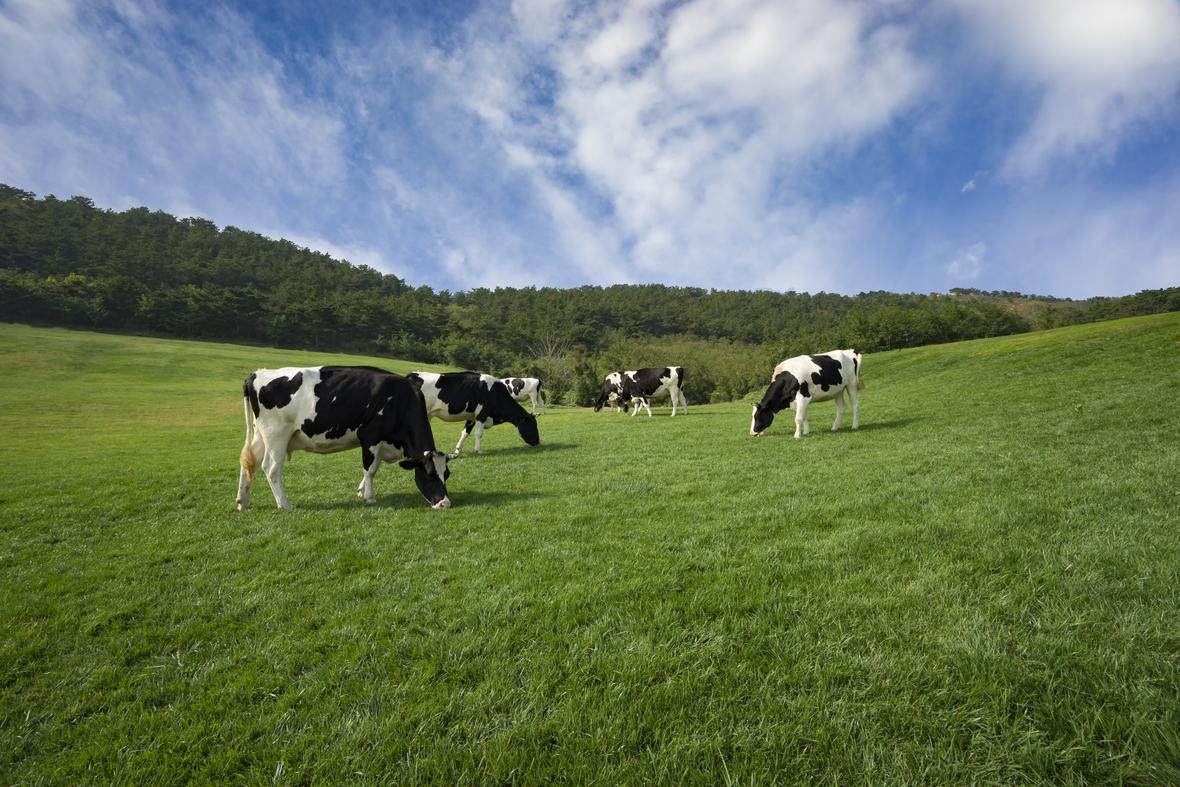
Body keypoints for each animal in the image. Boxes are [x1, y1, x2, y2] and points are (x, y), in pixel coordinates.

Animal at [234, 368, 450, 514]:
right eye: (429, 475)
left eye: (446, 474)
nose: (445, 503)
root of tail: (256, 374)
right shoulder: (370, 436)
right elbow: (370, 468)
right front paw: (369, 497)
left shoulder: (381, 443)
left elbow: (373, 466)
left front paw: (361, 491)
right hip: (277, 435)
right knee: (271, 468)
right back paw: (284, 504)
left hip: (261, 435)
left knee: (248, 463)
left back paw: (243, 501)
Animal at [403, 370, 538, 455]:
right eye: (532, 425)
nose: (537, 442)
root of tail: (413, 374)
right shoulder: (482, 414)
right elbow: (479, 433)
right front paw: (478, 450)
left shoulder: (472, 417)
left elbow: (465, 433)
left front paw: (457, 450)